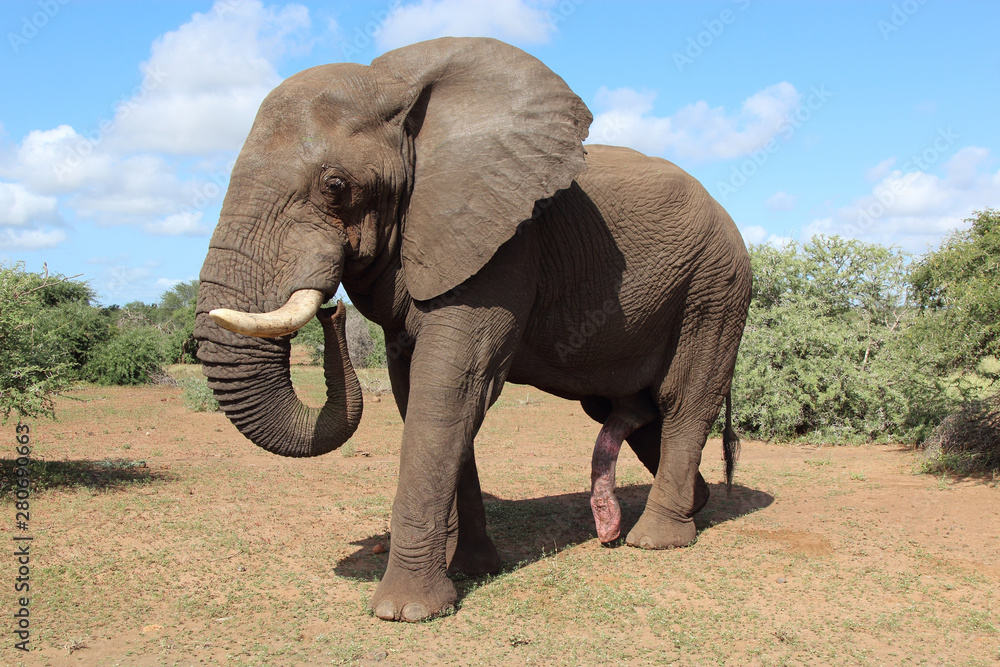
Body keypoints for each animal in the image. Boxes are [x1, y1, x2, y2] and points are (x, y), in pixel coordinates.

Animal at [195, 37, 752, 622]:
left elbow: (451, 388)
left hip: (715, 287)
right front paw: (472, 570)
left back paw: (657, 539)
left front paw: (405, 612)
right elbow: (418, 391)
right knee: (630, 413)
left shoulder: (506, 246)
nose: (333, 312)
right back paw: (687, 506)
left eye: (335, 187)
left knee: (682, 399)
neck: (402, 90)